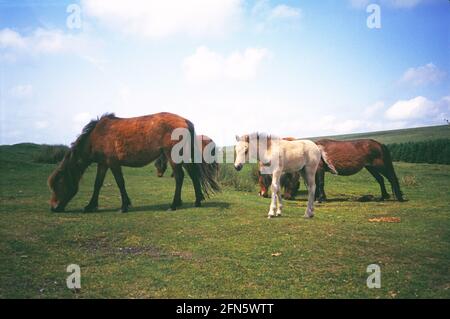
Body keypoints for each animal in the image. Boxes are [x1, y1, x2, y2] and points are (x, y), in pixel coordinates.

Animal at [47, 112, 220, 212]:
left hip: (172, 155)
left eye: (58, 184)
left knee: (179, 177)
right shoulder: (103, 164)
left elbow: (120, 183)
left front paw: (124, 206)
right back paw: (197, 201)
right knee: (193, 174)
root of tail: (184, 120)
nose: (53, 208)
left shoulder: (113, 163)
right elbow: (97, 184)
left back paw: (174, 205)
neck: (98, 134)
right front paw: (90, 205)